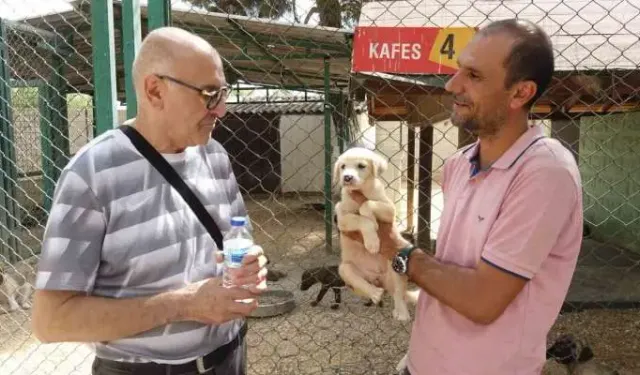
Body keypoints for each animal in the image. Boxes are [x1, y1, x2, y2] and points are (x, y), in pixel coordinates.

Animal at [332, 148, 412, 322]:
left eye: (361, 166)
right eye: (342, 167)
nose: (347, 177)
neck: (362, 190)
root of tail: (379, 280)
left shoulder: (389, 209)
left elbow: (367, 204)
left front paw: (371, 218)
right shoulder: (342, 217)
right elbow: (361, 219)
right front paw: (372, 241)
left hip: (396, 264)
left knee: (398, 294)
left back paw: (401, 313)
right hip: (344, 268)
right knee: (362, 284)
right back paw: (375, 293)